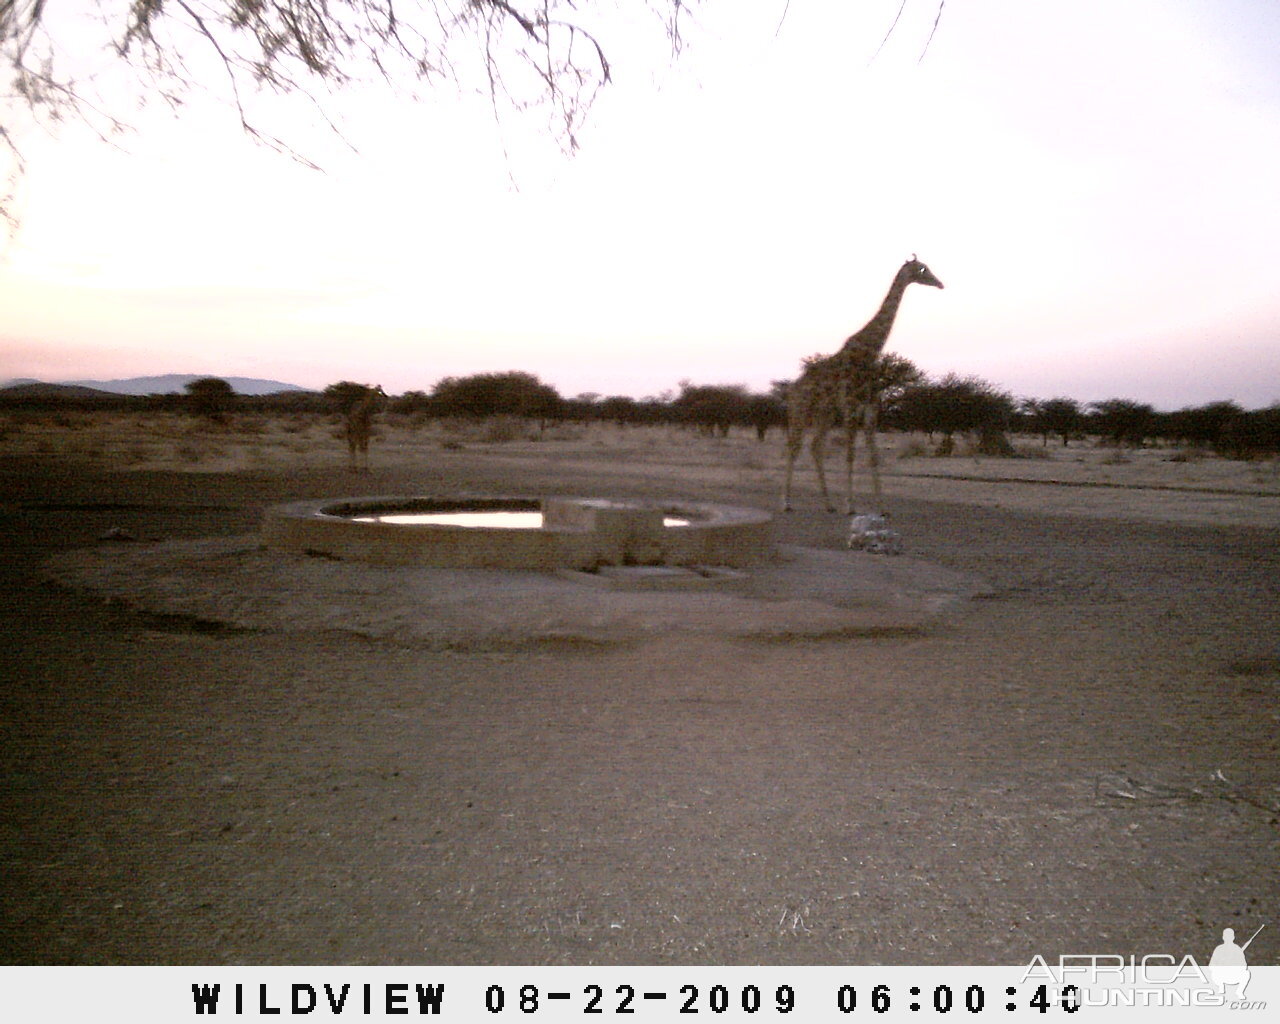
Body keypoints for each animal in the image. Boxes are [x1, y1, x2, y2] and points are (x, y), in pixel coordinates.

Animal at [778, 256, 942, 512]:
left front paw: (882, 507)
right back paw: (785, 502)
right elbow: (850, 454)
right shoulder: (850, 405)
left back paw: (828, 504)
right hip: (799, 413)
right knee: (792, 448)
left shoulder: (871, 406)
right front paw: (850, 505)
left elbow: (873, 456)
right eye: (922, 269)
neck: (870, 351)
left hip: (824, 414)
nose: (940, 283)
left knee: (815, 447)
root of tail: (792, 390)